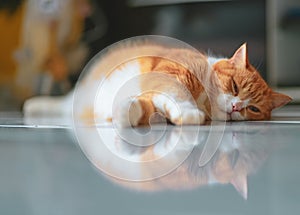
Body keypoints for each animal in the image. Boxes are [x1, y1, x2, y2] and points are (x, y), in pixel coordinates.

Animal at [24, 35, 292, 126]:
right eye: (235, 86)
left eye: (254, 109)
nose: (237, 107)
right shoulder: (173, 74)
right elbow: (177, 94)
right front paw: (189, 112)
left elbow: (146, 107)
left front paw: (126, 112)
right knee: (61, 103)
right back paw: (33, 105)